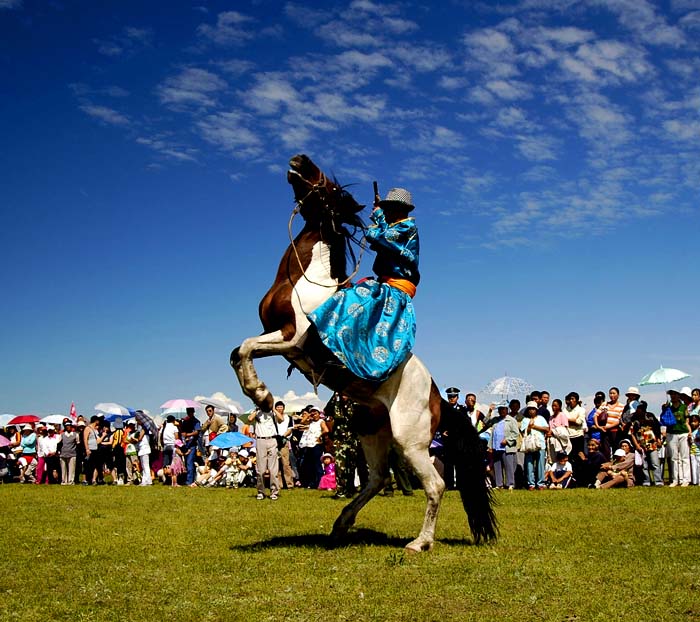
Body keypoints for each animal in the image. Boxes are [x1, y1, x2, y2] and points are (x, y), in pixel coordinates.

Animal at [232, 156, 494, 556]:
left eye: (328, 185)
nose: (298, 160)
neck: (306, 280)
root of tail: (438, 397)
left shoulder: (291, 340)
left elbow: (243, 349)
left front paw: (260, 395)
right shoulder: (276, 339)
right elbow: (238, 351)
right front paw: (259, 393)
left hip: (410, 439)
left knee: (433, 485)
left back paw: (420, 542)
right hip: (372, 431)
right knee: (376, 478)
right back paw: (341, 525)